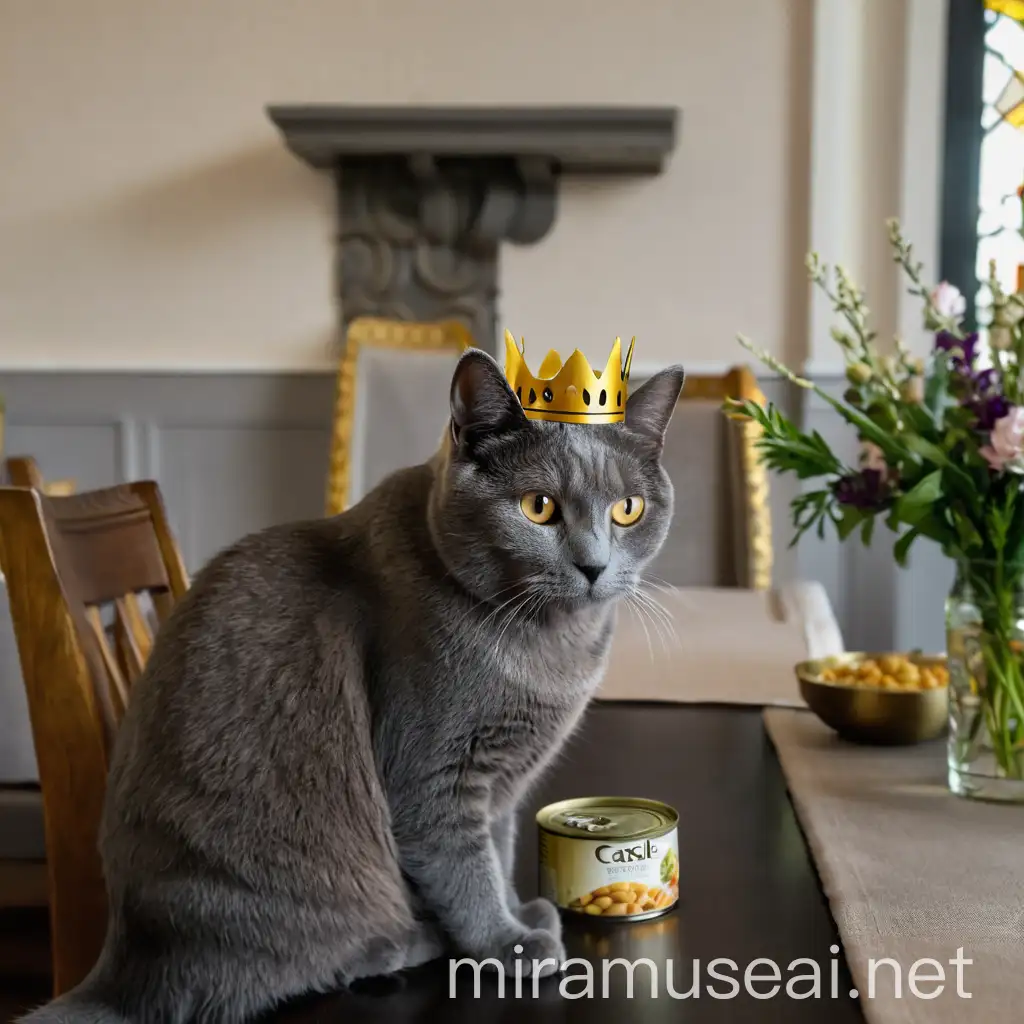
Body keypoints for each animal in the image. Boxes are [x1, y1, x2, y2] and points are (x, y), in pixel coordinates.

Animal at [24, 348, 684, 1019]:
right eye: (538, 507)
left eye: (627, 509)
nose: (594, 565)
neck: (554, 646)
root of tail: (122, 972)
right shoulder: (433, 779)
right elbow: (464, 868)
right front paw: (509, 944)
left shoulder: (502, 783)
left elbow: (496, 851)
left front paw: (521, 912)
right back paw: (409, 940)